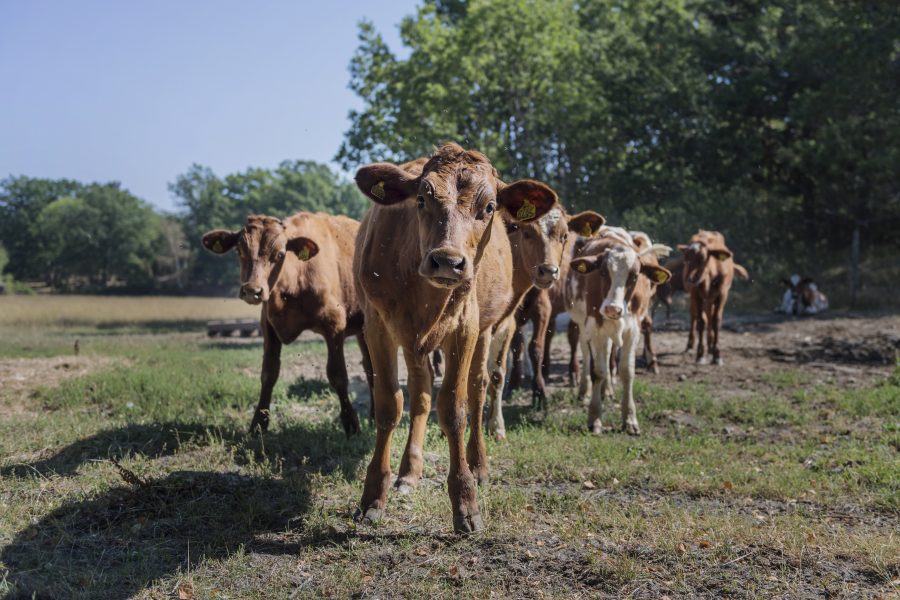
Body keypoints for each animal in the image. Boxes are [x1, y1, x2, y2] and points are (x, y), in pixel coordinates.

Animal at [201, 213, 372, 434]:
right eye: (239, 250)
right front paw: (258, 423)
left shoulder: (335, 324)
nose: (252, 291)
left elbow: (338, 375)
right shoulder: (268, 326)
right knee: (370, 367)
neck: (295, 280)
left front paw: (351, 424)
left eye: (280, 254)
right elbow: (269, 373)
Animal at [350, 143, 556, 532]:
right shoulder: (377, 325)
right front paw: (374, 495)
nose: (447, 261)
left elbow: (454, 409)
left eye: (489, 207)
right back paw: (409, 471)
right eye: (421, 198)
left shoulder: (465, 327)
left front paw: (465, 501)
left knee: (477, 389)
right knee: (421, 393)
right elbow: (390, 405)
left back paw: (480, 465)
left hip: (487, 330)